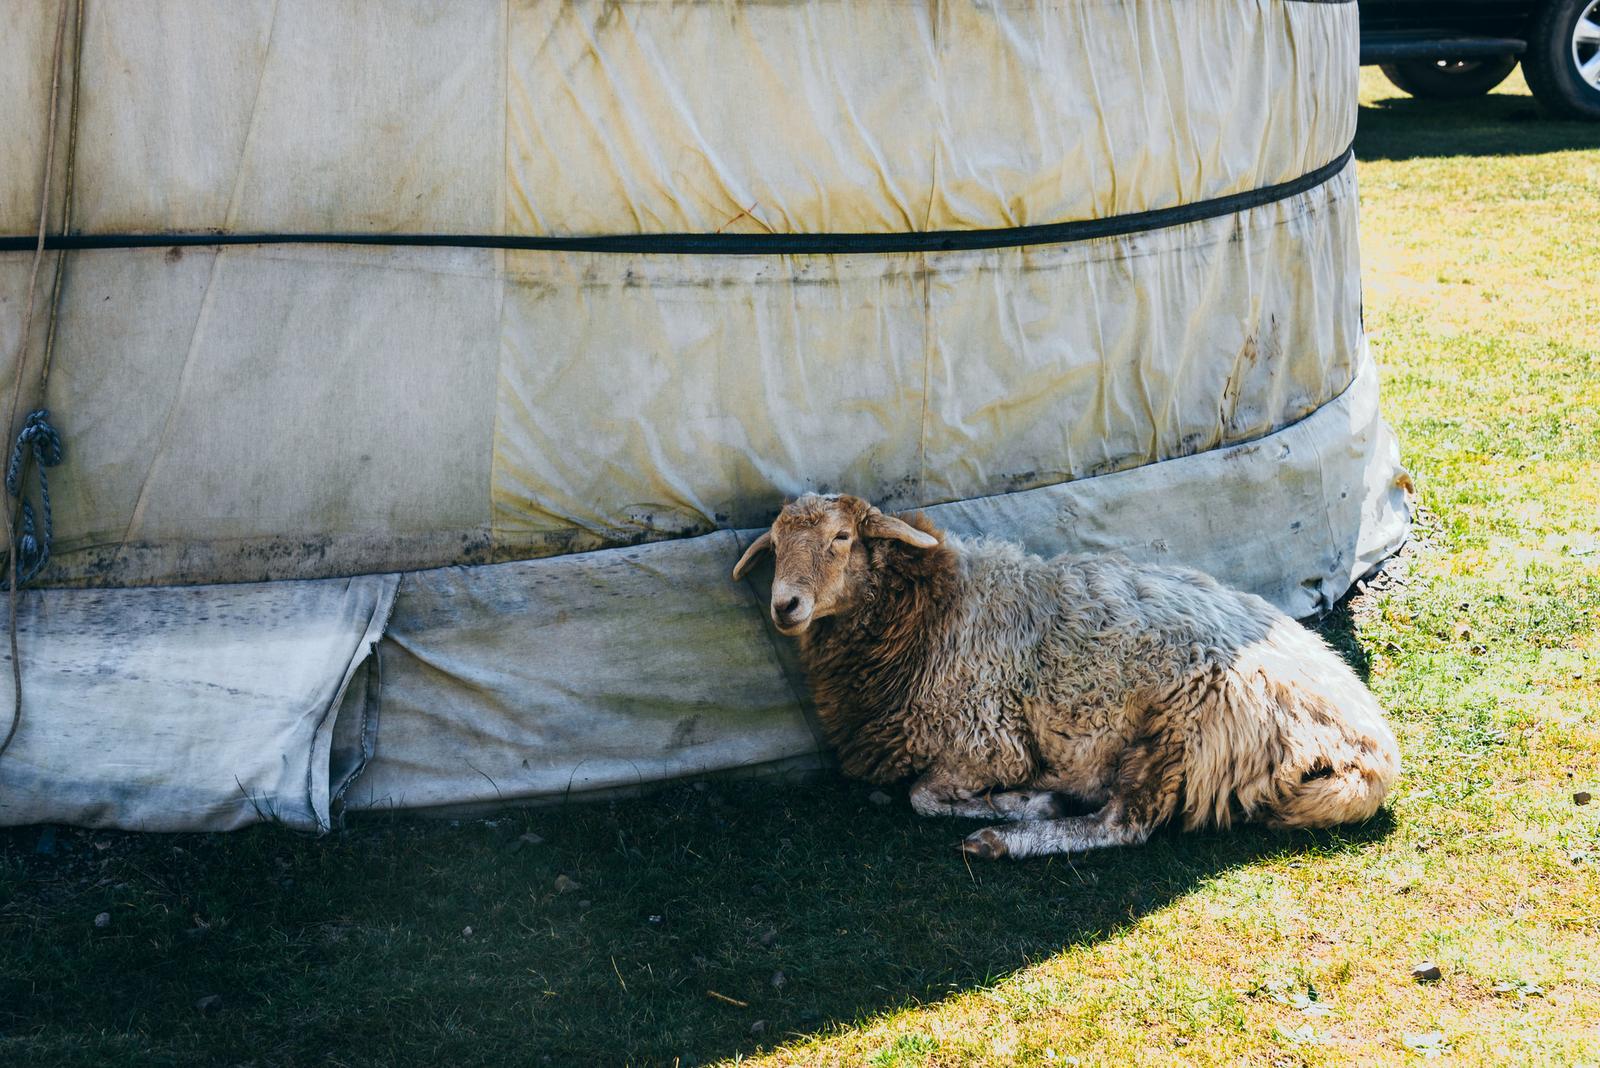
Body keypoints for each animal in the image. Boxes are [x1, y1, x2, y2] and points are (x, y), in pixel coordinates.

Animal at [732, 495, 1401, 856]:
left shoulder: (987, 742)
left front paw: (1024, 803)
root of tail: (1366, 746)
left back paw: (1010, 837)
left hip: (1178, 733)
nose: (785, 606)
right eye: (775, 546)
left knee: (1122, 826)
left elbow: (922, 797)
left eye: (842, 537)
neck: (929, 608)